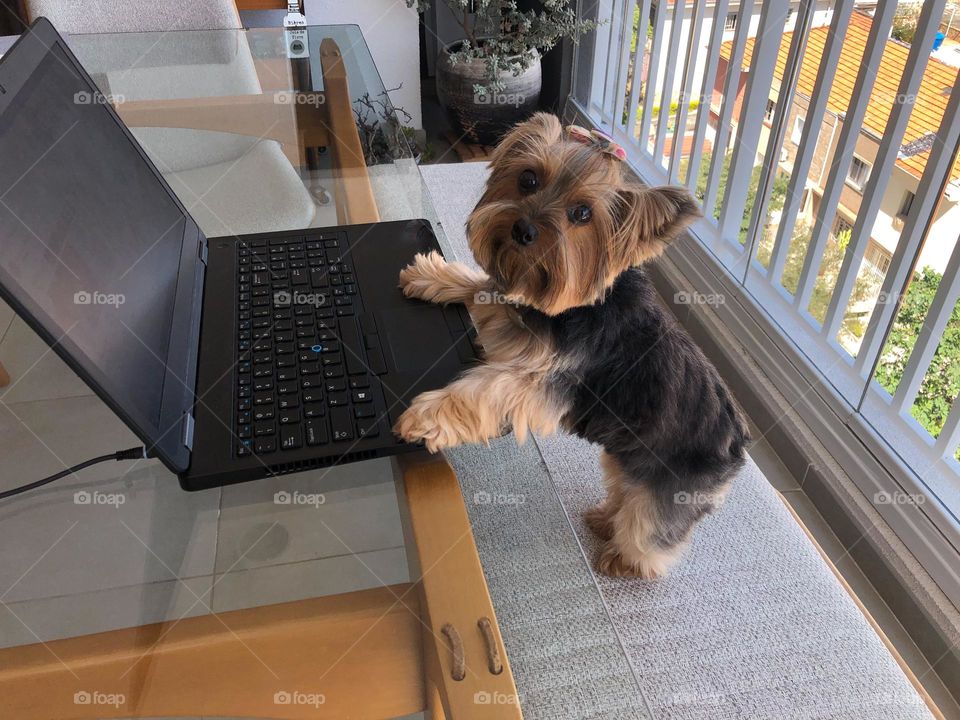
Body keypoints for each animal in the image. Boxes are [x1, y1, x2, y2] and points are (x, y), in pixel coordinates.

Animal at [392, 114, 752, 580]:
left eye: (582, 214)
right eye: (528, 179)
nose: (523, 229)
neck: (572, 306)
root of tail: (738, 442)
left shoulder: (544, 379)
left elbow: (483, 389)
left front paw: (424, 416)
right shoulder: (515, 312)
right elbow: (479, 287)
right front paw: (429, 276)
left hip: (674, 486)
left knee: (649, 532)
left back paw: (622, 558)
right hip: (628, 457)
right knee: (625, 488)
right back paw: (604, 518)